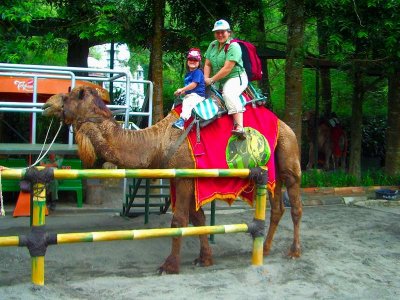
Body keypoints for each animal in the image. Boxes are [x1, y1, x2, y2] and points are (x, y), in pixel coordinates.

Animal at [42, 85, 302, 274]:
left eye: (71, 95)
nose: (47, 103)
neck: (159, 141)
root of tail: (286, 126)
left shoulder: (185, 176)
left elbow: (179, 220)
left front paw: (169, 265)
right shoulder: (183, 179)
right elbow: (198, 218)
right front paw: (204, 259)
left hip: (289, 155)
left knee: (295, 204)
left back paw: (294, 252)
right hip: (272, 171)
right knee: (277, 207)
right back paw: (265, 249)